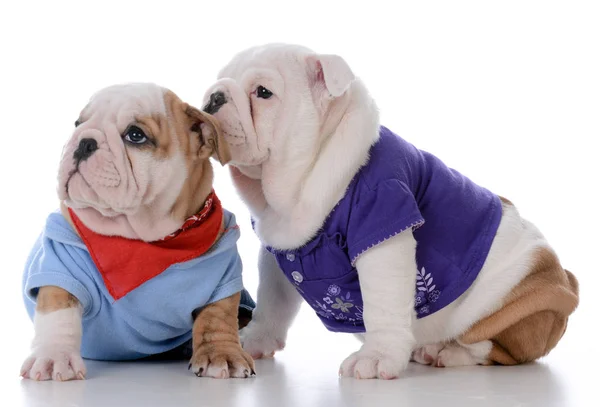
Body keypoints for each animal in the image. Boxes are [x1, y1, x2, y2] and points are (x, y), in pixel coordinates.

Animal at [21, 83, 254, 382]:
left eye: (135, 135)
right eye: (78, 123)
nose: (85, 141)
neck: (144, 240)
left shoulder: (223, 275)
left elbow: (218, 316)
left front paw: (222, 353)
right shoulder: (59, 262)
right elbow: (58, 311)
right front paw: (54, 357)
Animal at [204, 43, 580, 380]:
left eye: (263, 93)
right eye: (220, 80)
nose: (214, 96)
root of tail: (566, 280)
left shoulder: (382, 223)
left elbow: (383, 304)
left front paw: (377, 356)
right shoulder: (279, 251)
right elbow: (273, 301)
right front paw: (253, 339)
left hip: (520, 306)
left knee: (494, 348)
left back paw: (445, 351)